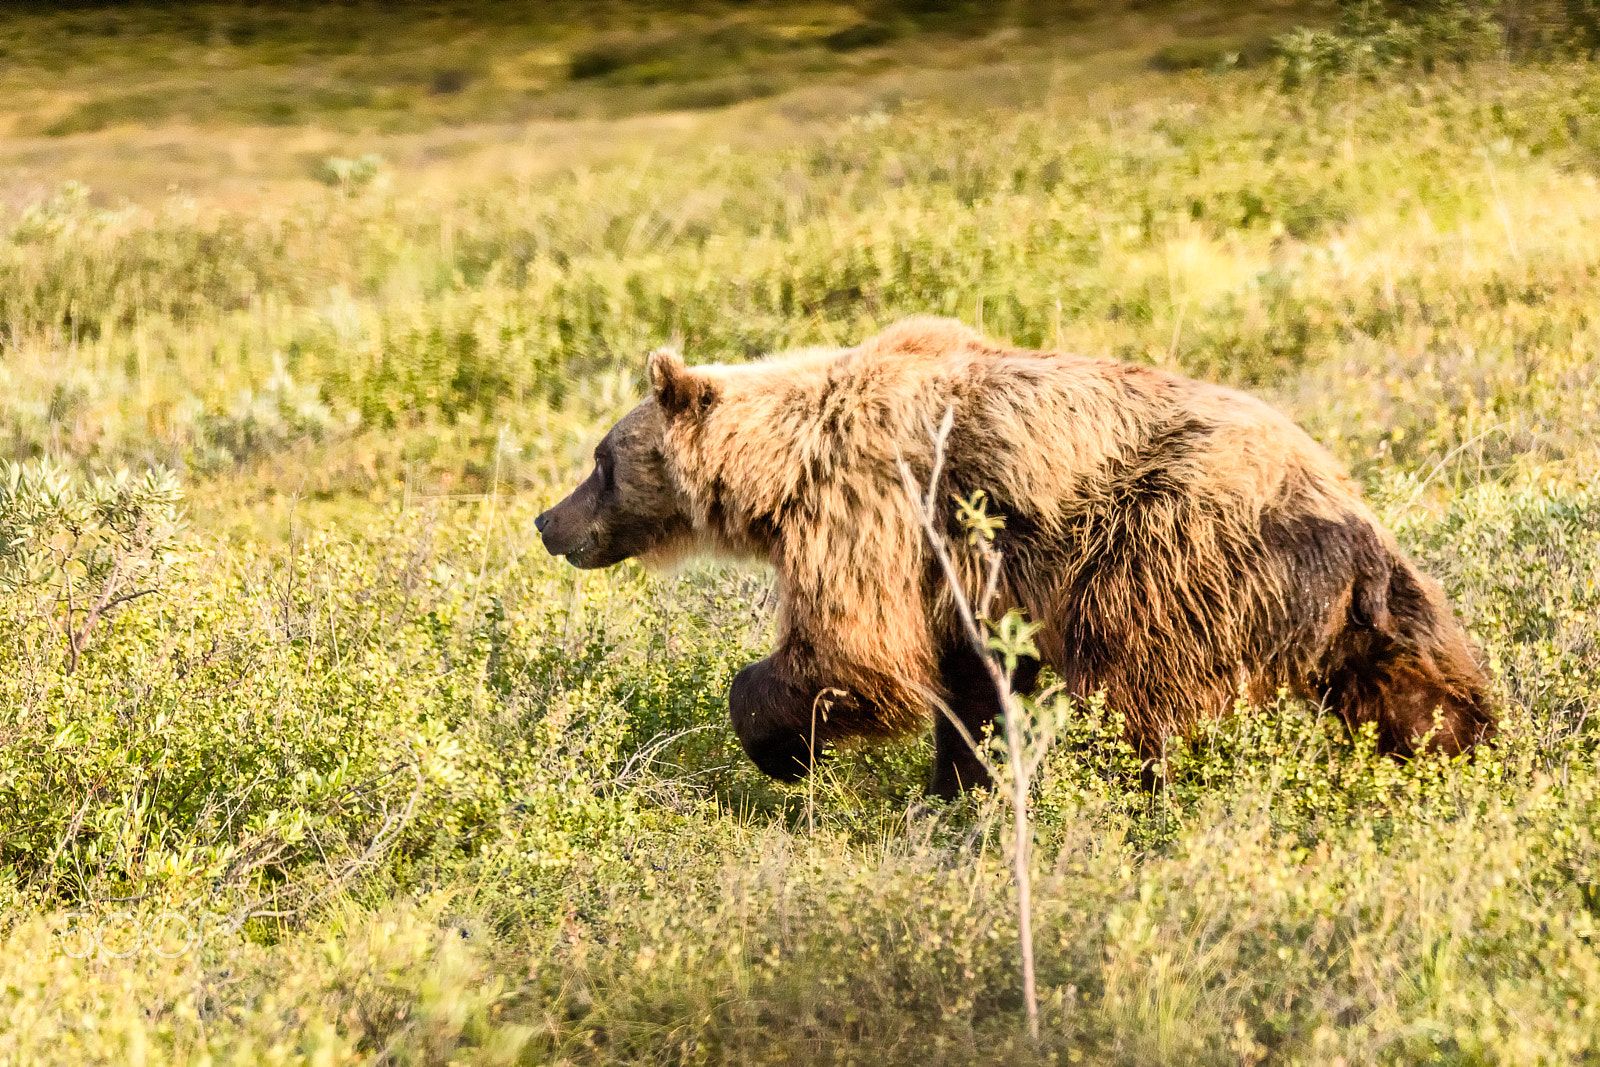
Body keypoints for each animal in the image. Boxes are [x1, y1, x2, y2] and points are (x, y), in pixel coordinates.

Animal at [535, 317, 1494, 797]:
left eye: (601, 459)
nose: (548, 521)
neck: (781, 471)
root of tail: (1344, 525)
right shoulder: (960, 576)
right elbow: (967, 681)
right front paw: (961, 784)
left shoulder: (871, 508)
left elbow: (856, 650)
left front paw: (783, 747)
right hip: (1380, 601)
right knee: (1424, 687)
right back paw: (1462, 755)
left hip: (1164, 550)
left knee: (1136, 688)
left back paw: (1139, 789)